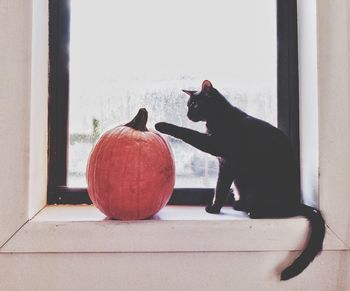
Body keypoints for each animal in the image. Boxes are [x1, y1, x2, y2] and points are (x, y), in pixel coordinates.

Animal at [156, 81, 326, 282]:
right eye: (188, 106)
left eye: (195, 105)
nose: (188, 115)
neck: (219, 117)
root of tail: (296, 203)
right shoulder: (224, 164)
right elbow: (219, 187)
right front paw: (215, 207)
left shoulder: (221, 154)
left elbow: (190, 136)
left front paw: (163, 125)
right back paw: (240, 205)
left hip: (261, 185)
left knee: (279, 210)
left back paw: (256, 212)